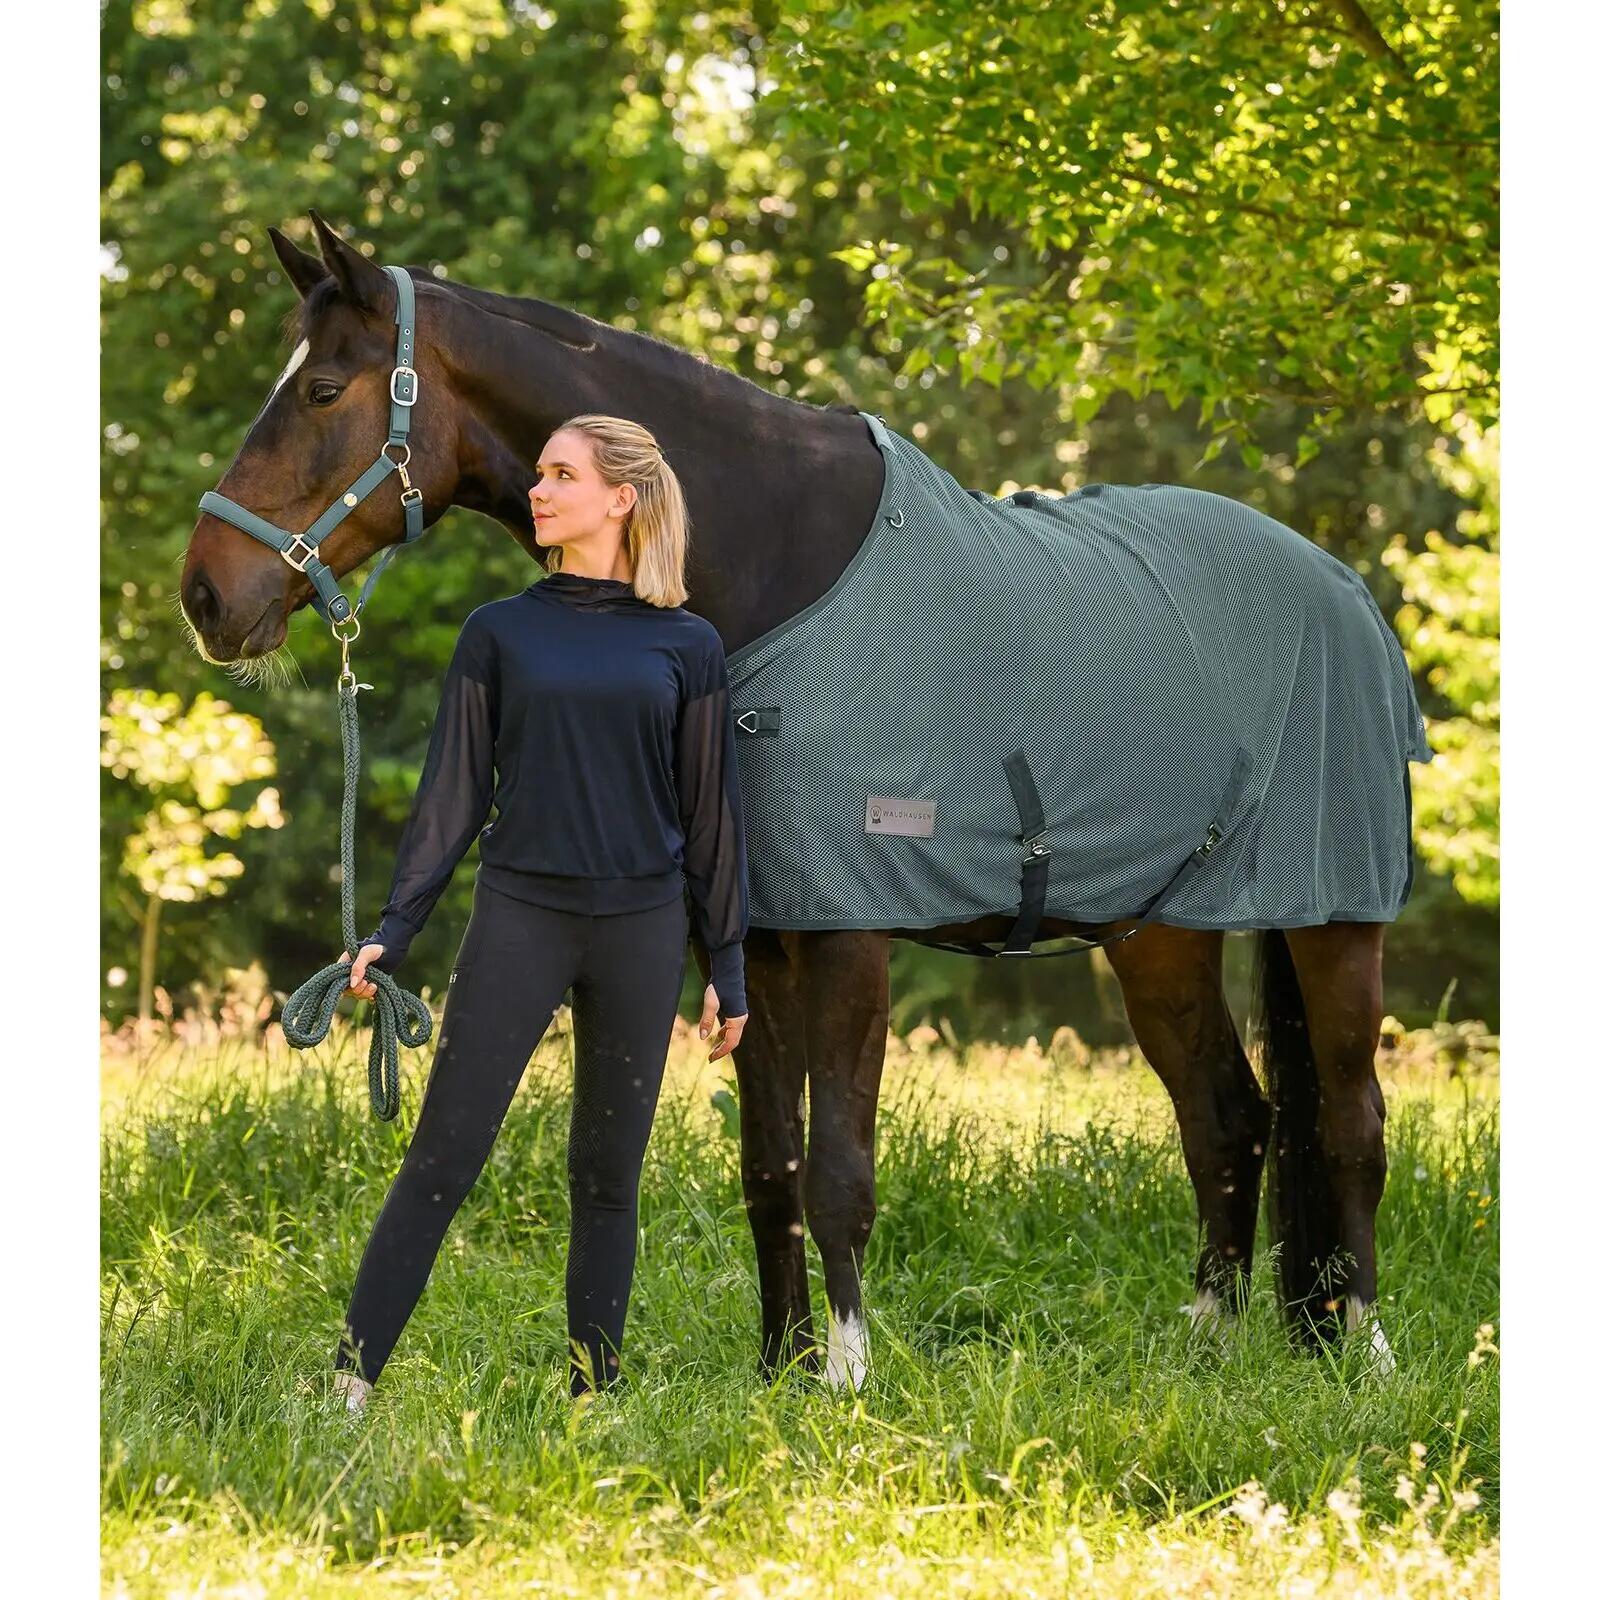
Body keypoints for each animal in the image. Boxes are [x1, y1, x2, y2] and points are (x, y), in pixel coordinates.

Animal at [181, 211, 1401, 1388]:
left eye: (322, 391)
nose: (204, 594)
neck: (780, 565)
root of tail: (1342, 586)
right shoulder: (755, 937)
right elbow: (769, 1166)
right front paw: (781, 1368)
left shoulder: (851, 932)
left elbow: (839, 1172)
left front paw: (848, 1378)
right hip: (1158, 935)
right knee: (1228, 1119)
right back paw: (1210, 1346)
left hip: (1337, 923)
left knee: (1350, 1121)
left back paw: (1366, 1351)